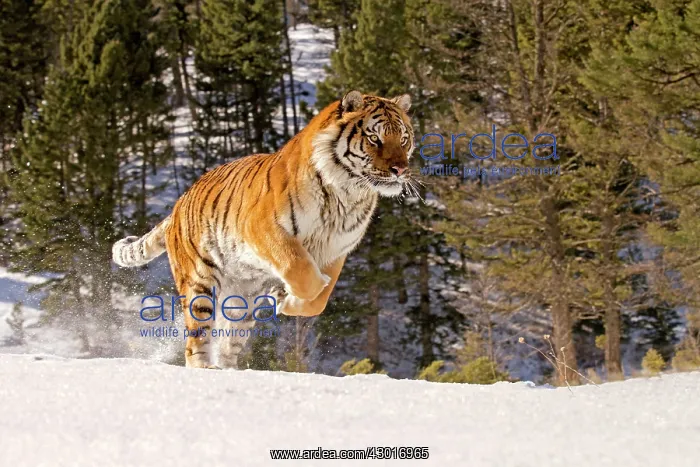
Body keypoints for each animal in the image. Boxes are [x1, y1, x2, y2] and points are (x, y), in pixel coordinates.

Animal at [112, 90, 415, 369]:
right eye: (374, 138)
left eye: (403, 139)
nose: (400, 169)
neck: (348, 194)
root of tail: (177, 206)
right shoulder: (266, 229)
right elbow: (301, 271)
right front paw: (285, 295)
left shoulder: (335, 250)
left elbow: (319, 300)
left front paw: (288, 300)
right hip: (199, 283)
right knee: (197, 339)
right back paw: (204, 368)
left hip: (241, 302)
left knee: (229, 342)